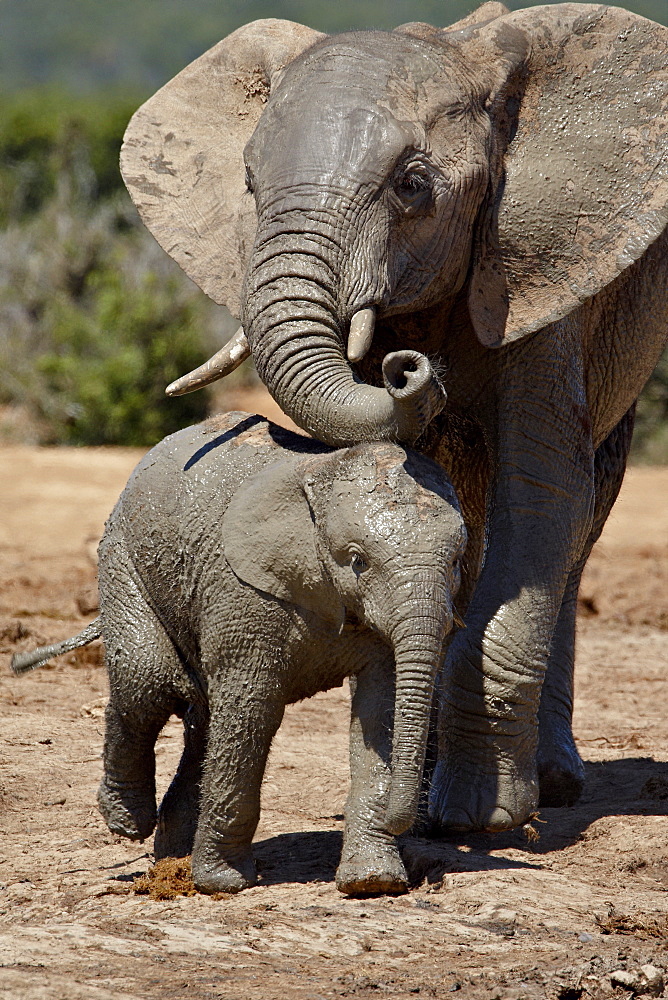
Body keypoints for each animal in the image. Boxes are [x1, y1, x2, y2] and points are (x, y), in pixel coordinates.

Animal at [14, 410, 464, 896]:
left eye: (457, 561)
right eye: (357, 559)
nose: (405, 823)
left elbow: (382, 709)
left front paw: (373, 882)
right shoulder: (243, 590)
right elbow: (254, 707)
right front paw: (223, 883)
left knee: (200, 716)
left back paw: (172, 858)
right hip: (123, 555)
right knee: (148, 685)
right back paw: (129, 822)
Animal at [120, 3, 668, 832]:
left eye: (413, 187)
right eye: (248, 183)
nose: (407, 368)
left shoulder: (535, 277)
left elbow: (541, 498)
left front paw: (481, 818)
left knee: (580, 518)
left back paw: (549, 784)